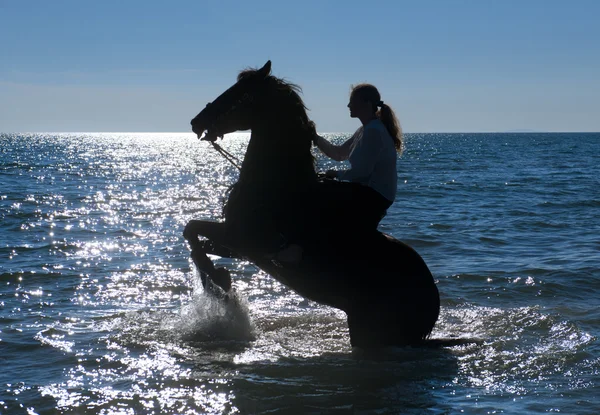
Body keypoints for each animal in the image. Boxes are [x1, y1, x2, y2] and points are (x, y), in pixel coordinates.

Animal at [184, 61, 440, 348]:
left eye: (240, 94)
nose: (196, 122)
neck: (276, 186)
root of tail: (432, 297)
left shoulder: (244, 239)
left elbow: (193, 232)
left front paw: (220, 281)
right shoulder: (239, 246)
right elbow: (192, 236)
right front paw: (218, 280)